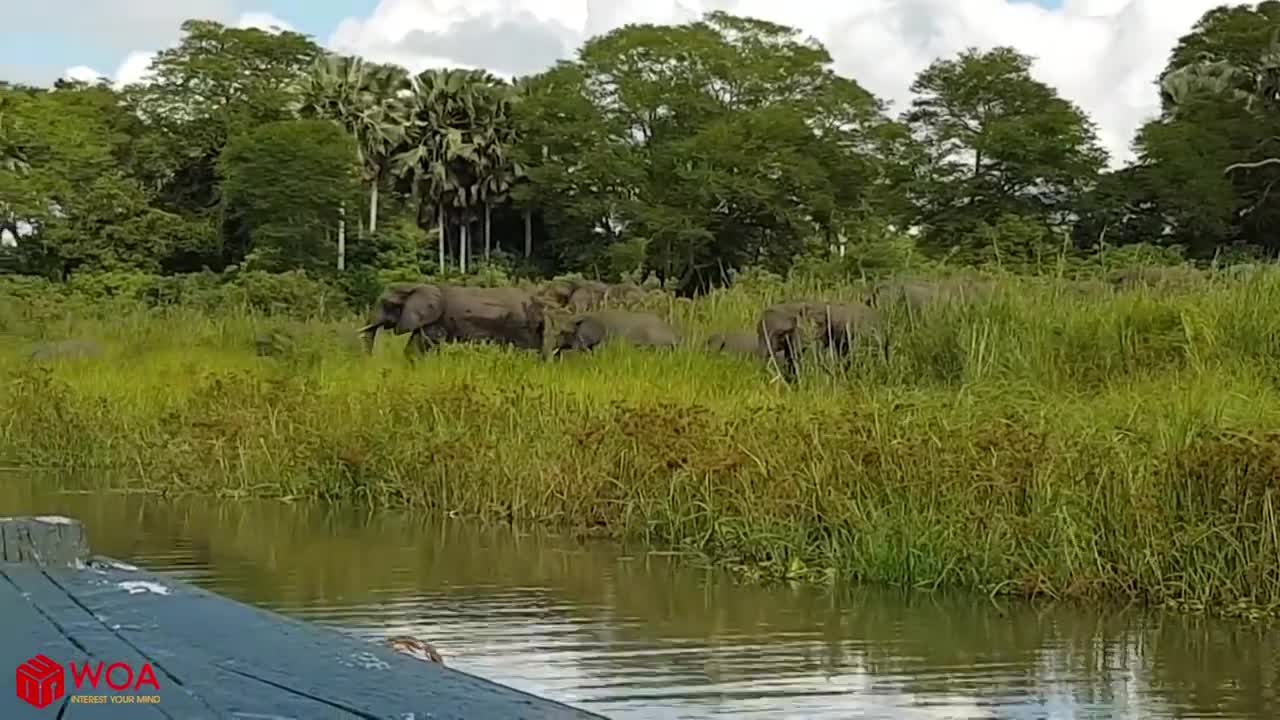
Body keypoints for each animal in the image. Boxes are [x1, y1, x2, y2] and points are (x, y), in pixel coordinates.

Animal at [358, 281, 547, 356]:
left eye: (386, 303)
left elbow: (423, 343)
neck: (414, 285)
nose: (370, 361)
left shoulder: (437, 320)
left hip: (519, 325)